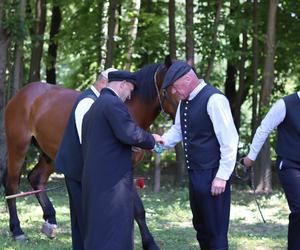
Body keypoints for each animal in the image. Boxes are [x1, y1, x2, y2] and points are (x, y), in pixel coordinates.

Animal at [4, 60, 178, 248]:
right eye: (171, 88)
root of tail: (21, 95)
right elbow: (136, 209)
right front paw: (149, 243)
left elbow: (135, 209)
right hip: (18, 147)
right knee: (12, 185)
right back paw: (17, 230)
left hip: (49, 154)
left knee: (36, 178)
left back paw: (50, 220)